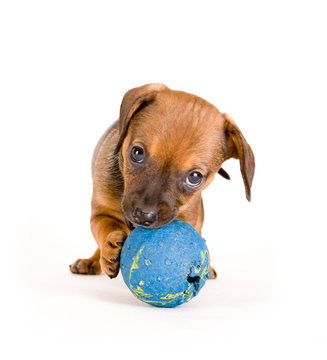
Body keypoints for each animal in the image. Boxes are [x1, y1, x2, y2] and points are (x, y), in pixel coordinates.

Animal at [70, 83, 256, 278]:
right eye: (137, 152)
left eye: (195, 177)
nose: (143, 215)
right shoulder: (100, 212)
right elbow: (105, 227)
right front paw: (109, 246)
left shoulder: (189, 219)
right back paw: (91, 261)